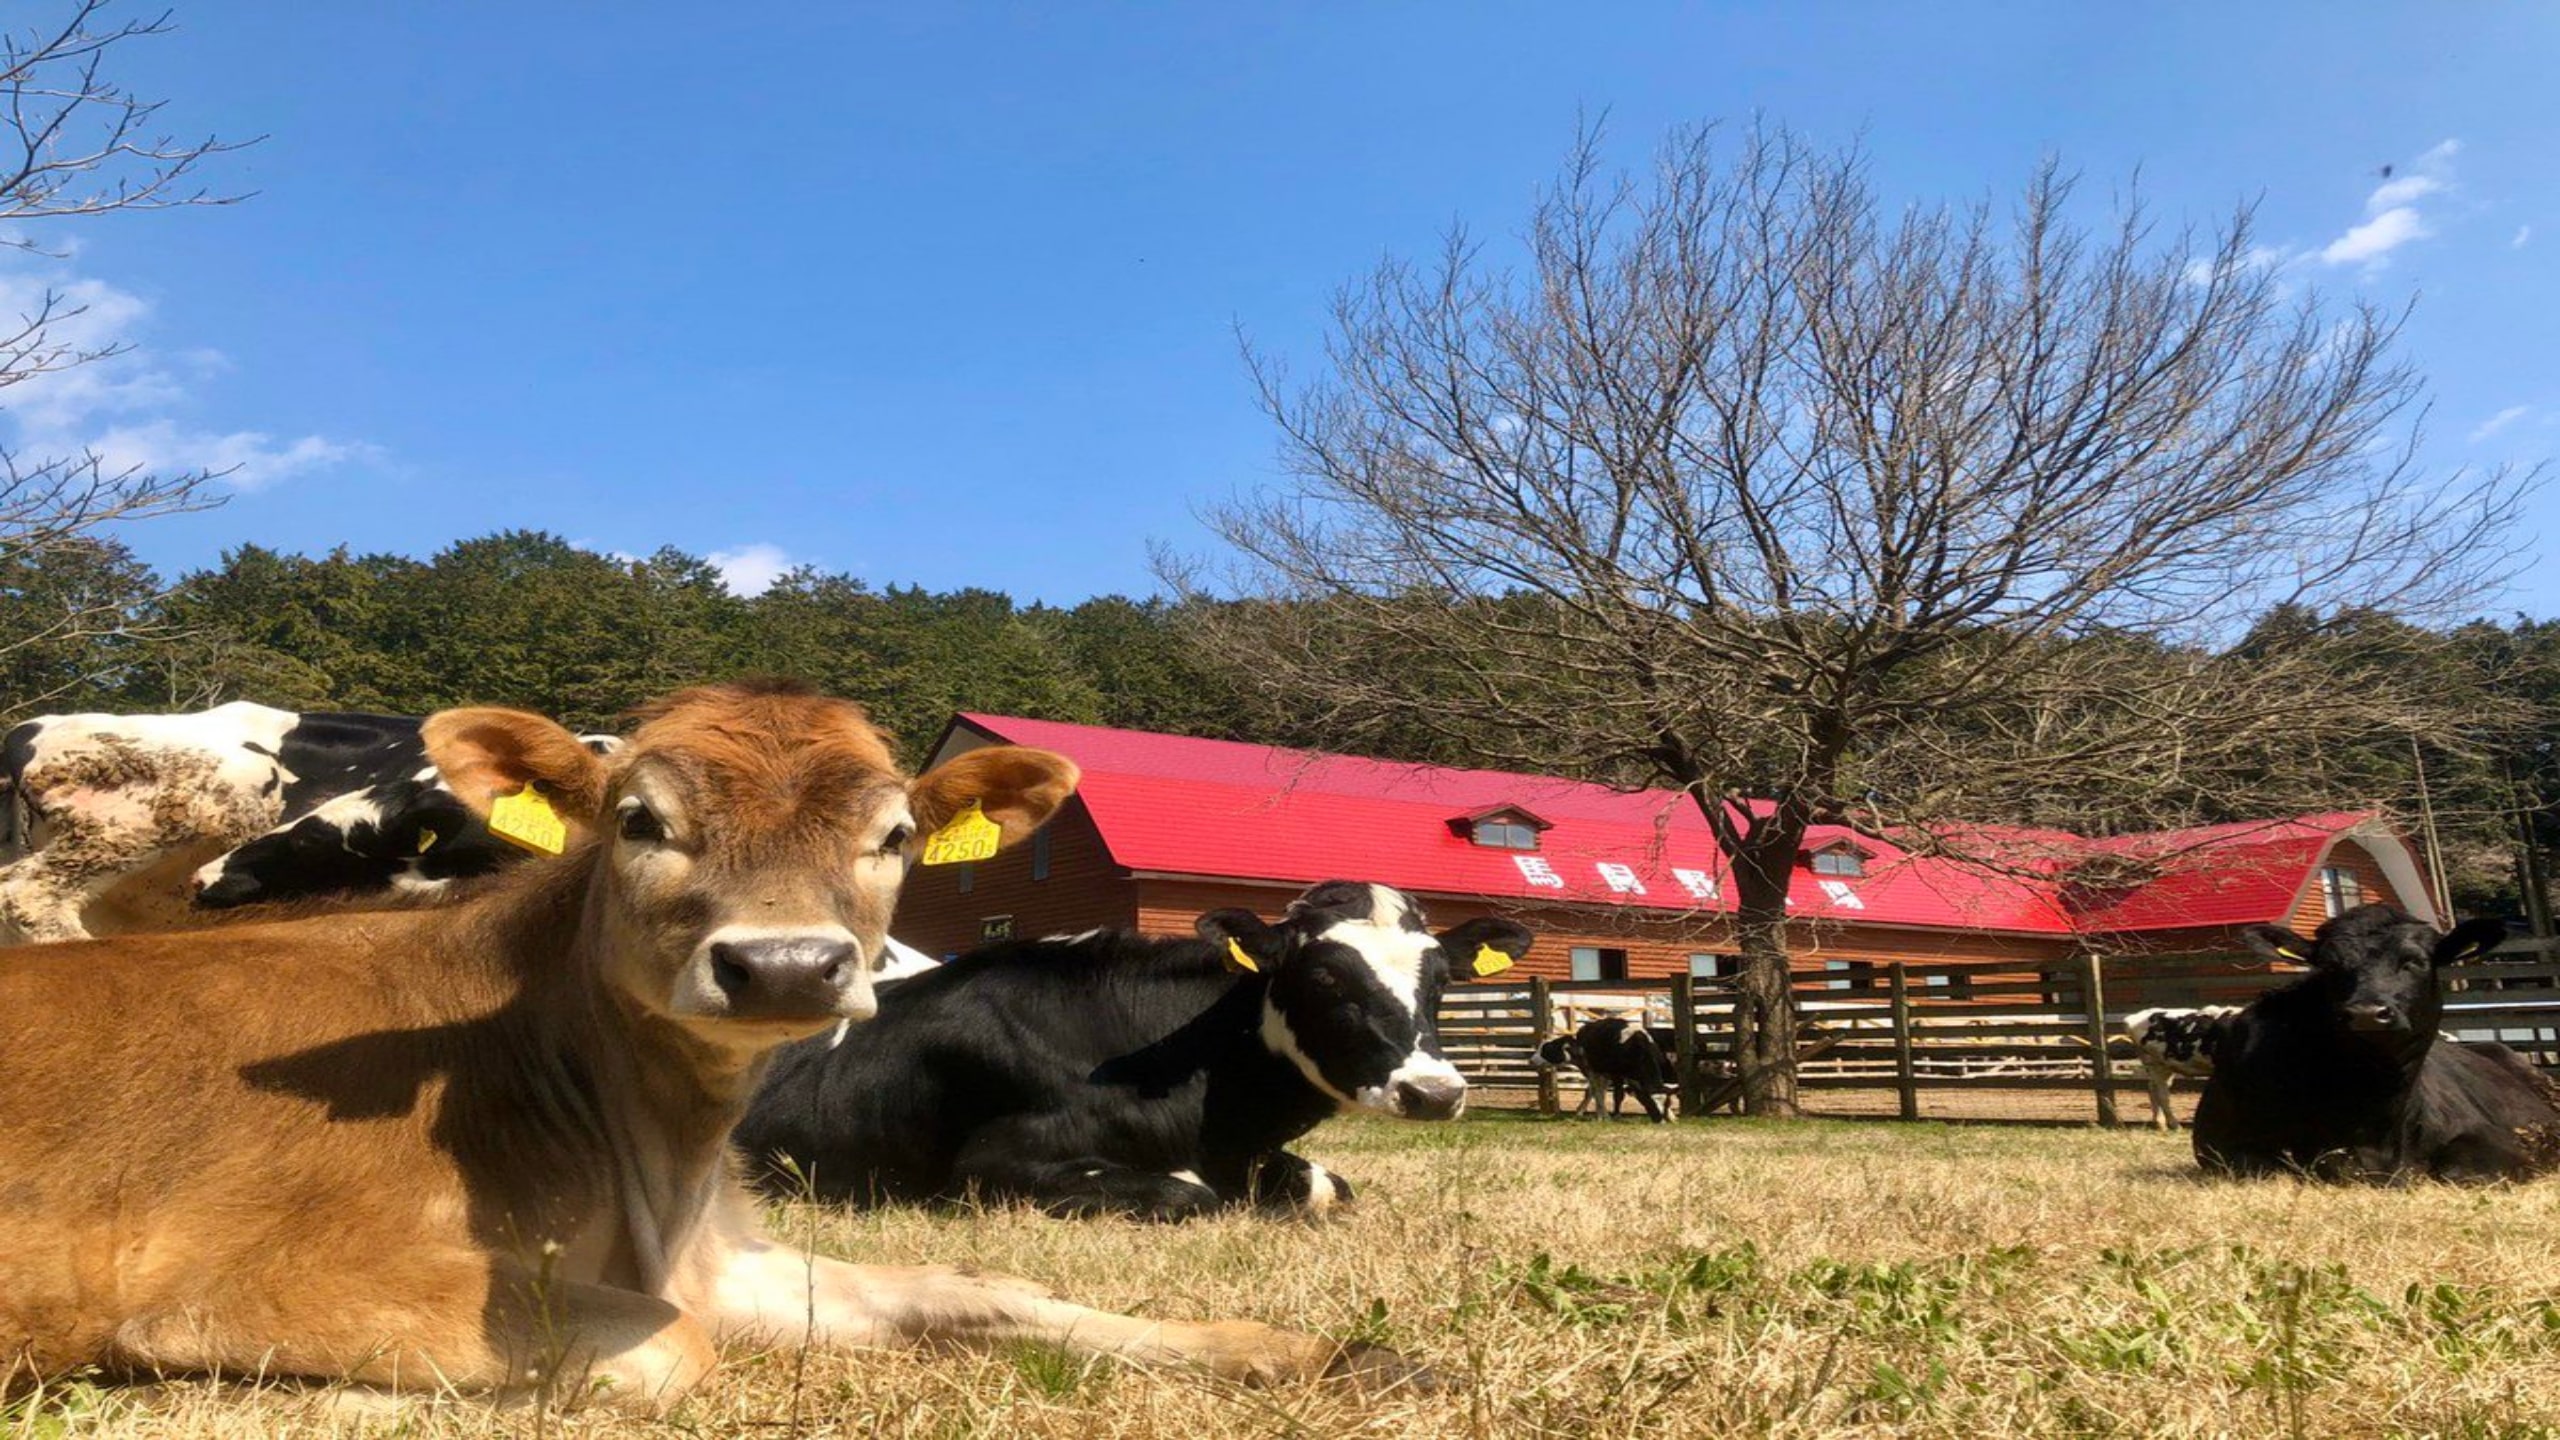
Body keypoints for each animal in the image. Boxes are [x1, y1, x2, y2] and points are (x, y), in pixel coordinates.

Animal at [0, 681, 1423, 1404]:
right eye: (638, 820)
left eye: (896, 833)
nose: (786, 964)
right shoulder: (250, 1276)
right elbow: (666, 1350)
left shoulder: (726, 1261)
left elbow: (988, 1288)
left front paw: (1297, 1351)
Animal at [737, 881, 1536, 1214]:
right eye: (1324, 976)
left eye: (1442, 980)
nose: (1433, 1092)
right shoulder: (990, 1166)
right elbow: (1189, 1194)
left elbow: (1330, 1186)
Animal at [1536, 1009, 1679, 1122]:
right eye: (1650, 1101)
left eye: (1665, 1102)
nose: (1660, 1120)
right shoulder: (1615, 1074)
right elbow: (1617, 1095)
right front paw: (1614, 1115)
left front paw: (1671, 1116)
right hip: (1595, 1070)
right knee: (1596, 1091)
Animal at [2191, 901, 2560, 1183]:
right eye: (2329, 966)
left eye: (2414, 962)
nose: (2367, 1012)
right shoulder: (2231, 1147)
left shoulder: (2496, 1138)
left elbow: (2463, 1169)